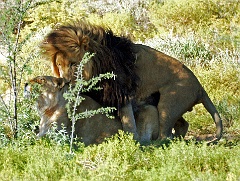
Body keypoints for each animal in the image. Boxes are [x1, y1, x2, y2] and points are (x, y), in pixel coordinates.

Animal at [24, 75, 159, 145]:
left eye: (41, 80)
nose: (25, 83)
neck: (47, 111)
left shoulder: (58, 136)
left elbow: (30, 139)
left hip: (150, 109)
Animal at [40, 20, 223, 142]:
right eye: (58, 65)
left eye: (72, 64)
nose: (64, 81)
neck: (97, 63)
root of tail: (200, 87)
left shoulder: (121, 93)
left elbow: (128, 123)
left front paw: (130, 142)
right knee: (182, 125)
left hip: (169, 103)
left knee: (165, 134)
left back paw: (153, 145)